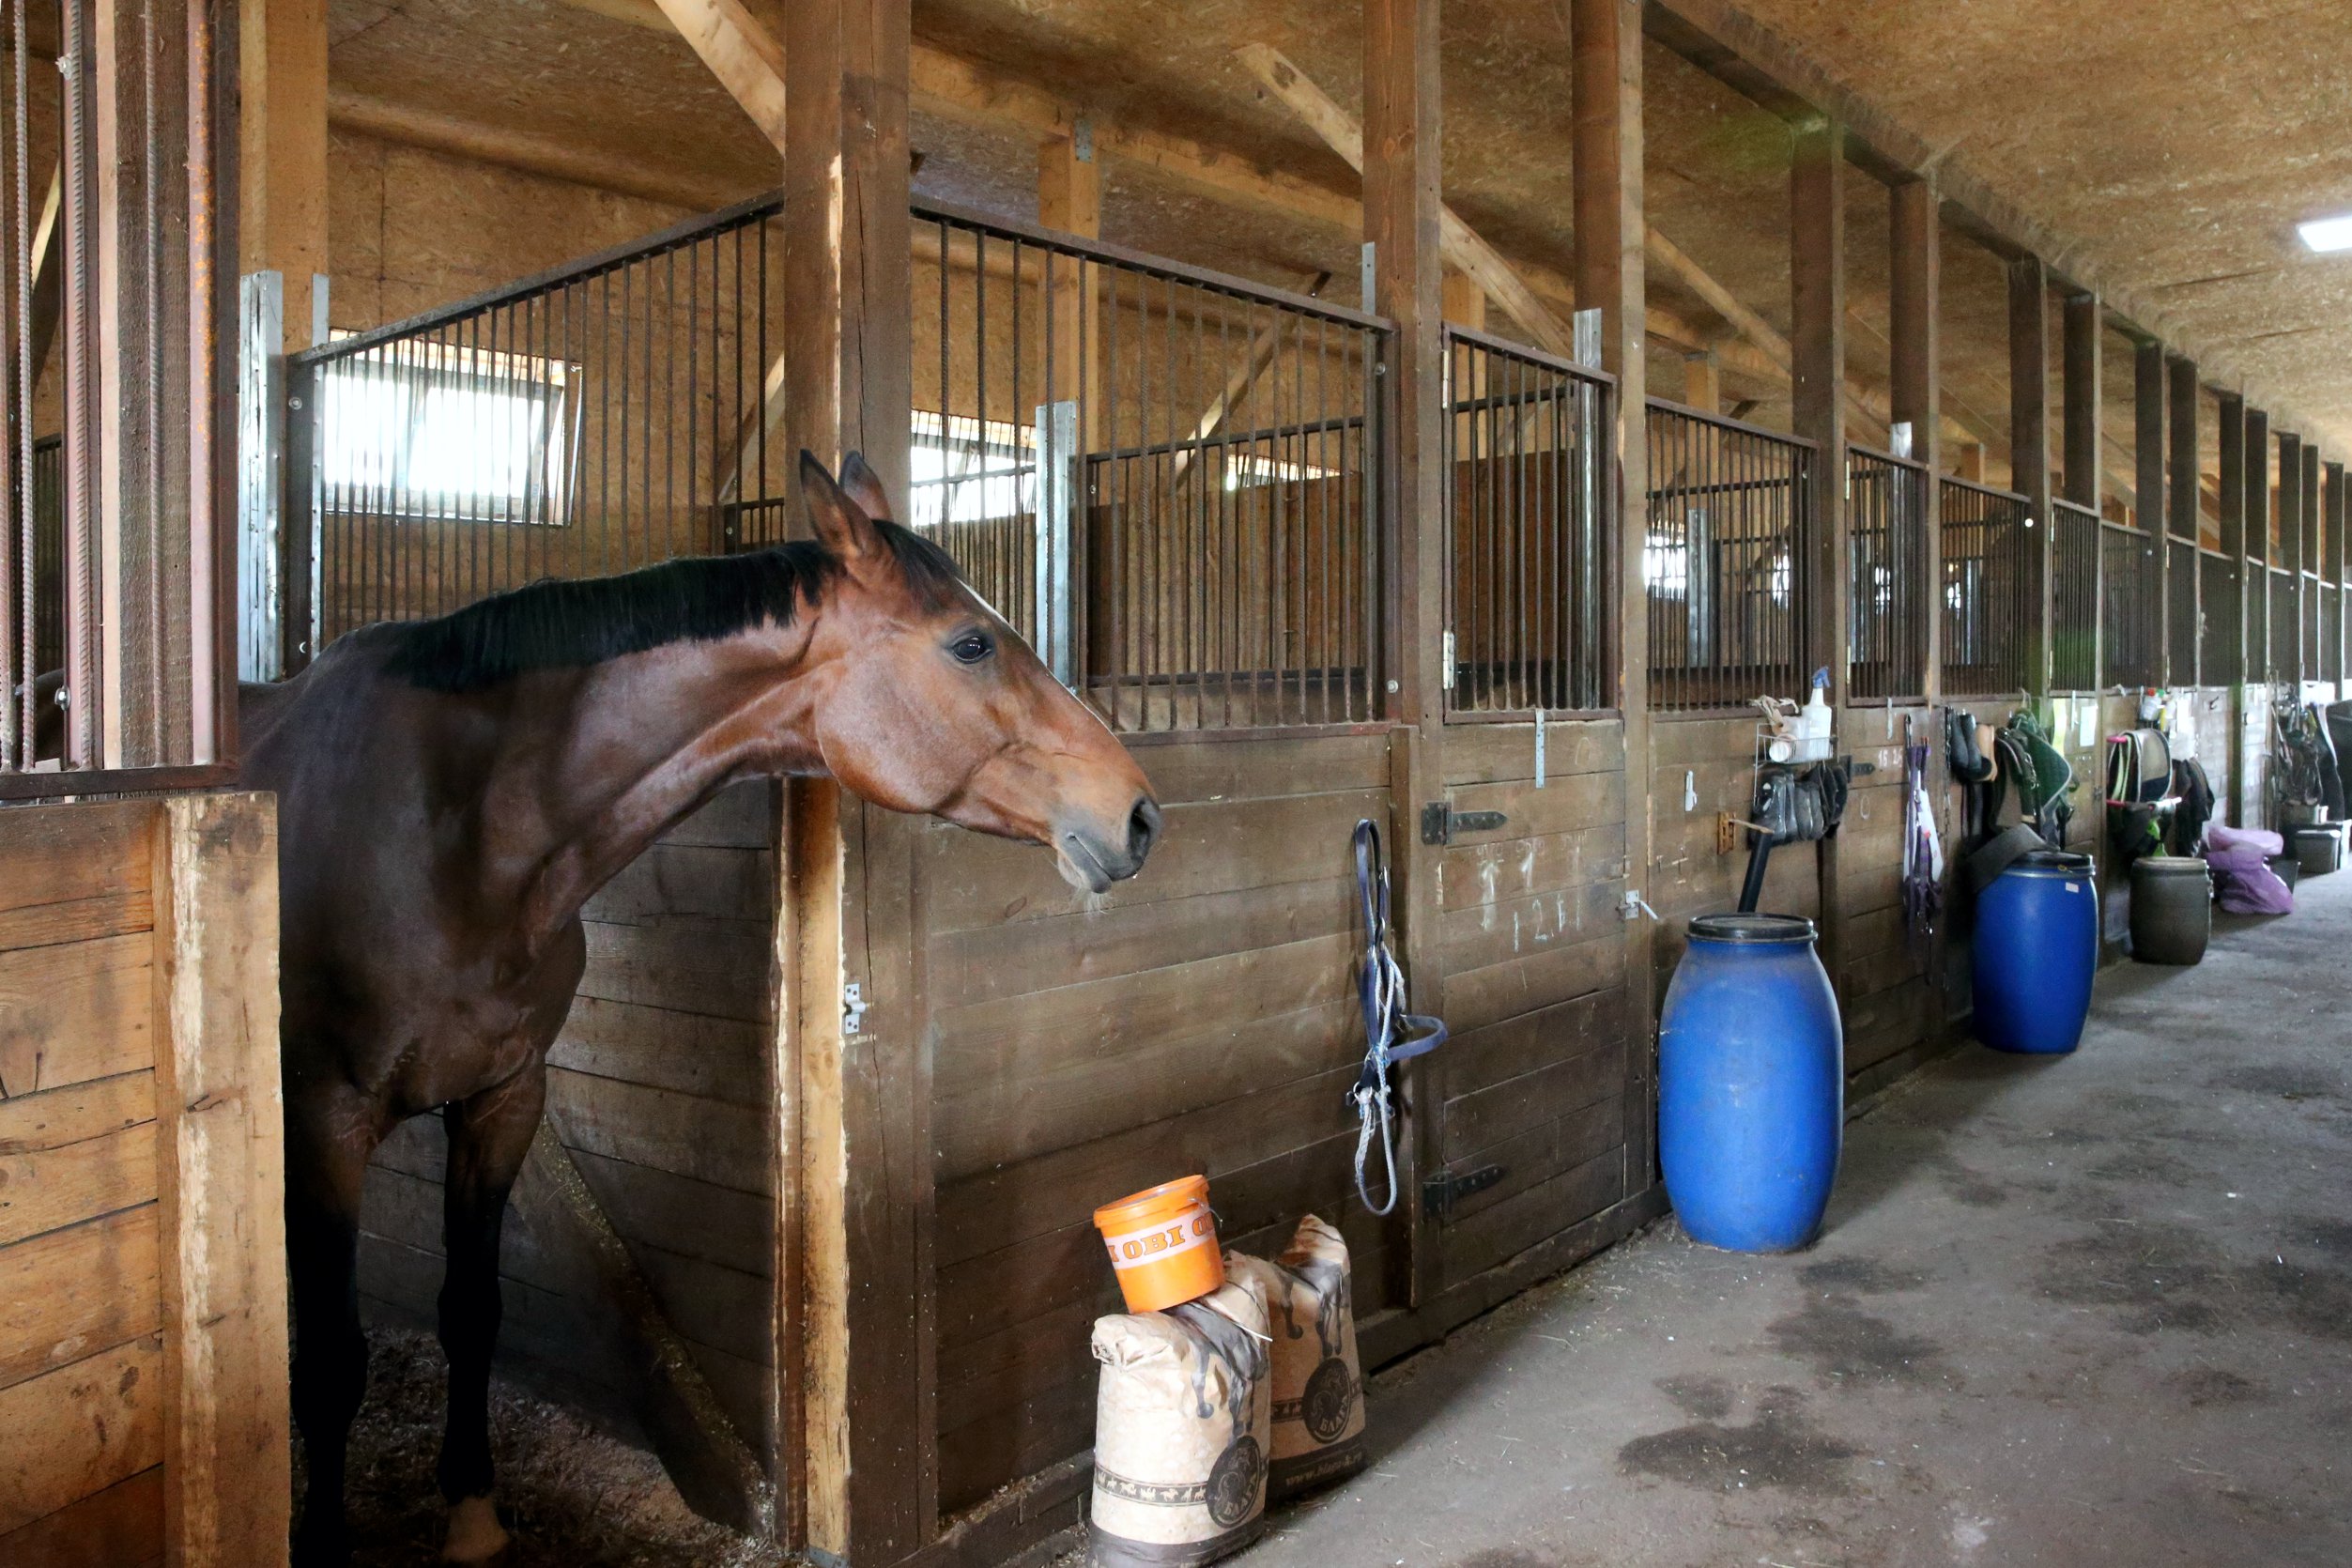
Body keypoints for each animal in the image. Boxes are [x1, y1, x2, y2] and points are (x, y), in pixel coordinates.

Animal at [236, 446, 1157, 1560]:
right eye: (971, 643)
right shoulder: (323, 1119)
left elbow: (472, 1308)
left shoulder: (504, 1102)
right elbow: (329, 1356)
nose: (1138, 814)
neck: (449, 828)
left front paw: (473, 1515)